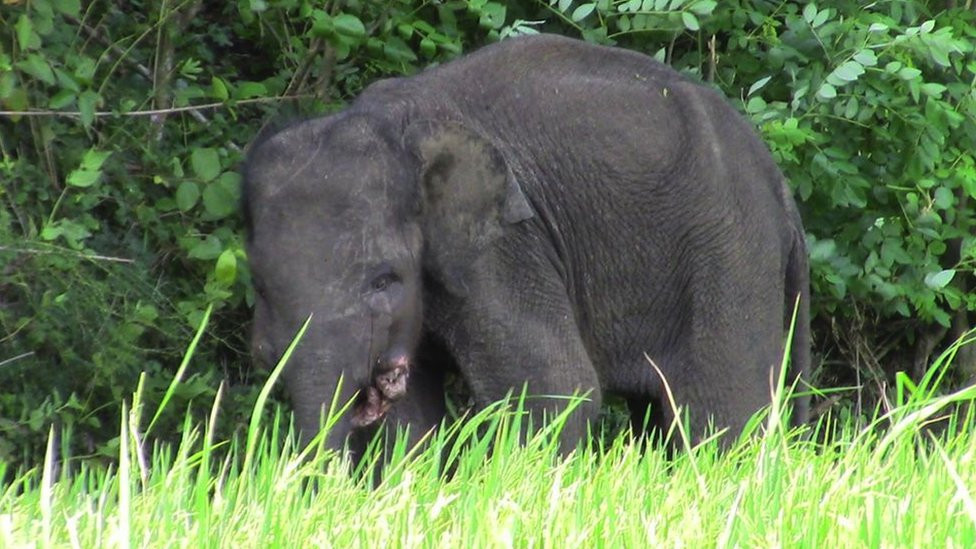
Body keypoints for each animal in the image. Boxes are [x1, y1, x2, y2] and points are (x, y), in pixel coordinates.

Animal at [242, 32, 808, 456]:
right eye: (263, 291)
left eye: (384, 280)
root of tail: (781, 188)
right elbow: (413, 419)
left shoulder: (506, 247)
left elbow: (553, 386)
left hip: (730, 250)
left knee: (720, 413)